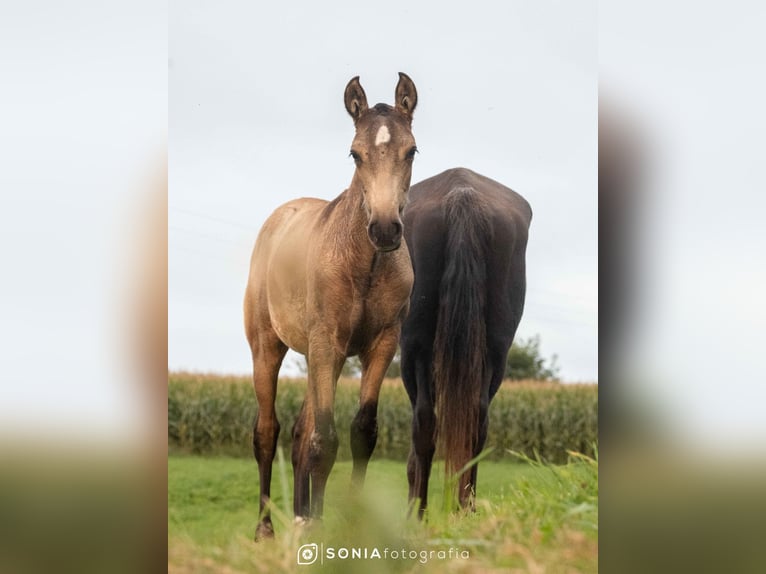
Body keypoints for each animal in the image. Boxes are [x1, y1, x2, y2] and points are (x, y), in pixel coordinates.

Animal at [244, 74, 420, 544]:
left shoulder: (381, 345)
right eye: (355, 154)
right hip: (268, 348)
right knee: (268, 432)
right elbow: (324, 439)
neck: (364, 264)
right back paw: (266, 528)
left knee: (300, 432)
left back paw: (301, 515)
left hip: (319, 356)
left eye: (412, 150)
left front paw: (345, 523)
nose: (384, 229)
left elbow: (361, 432)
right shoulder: (328, 344)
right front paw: (316, 528)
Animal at [402, 169, 536, 520]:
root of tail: (462, 194)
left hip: (414, 347)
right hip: (495, 351)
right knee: (477, 419)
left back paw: (418, 514)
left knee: (424, 423)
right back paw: (465, 509)